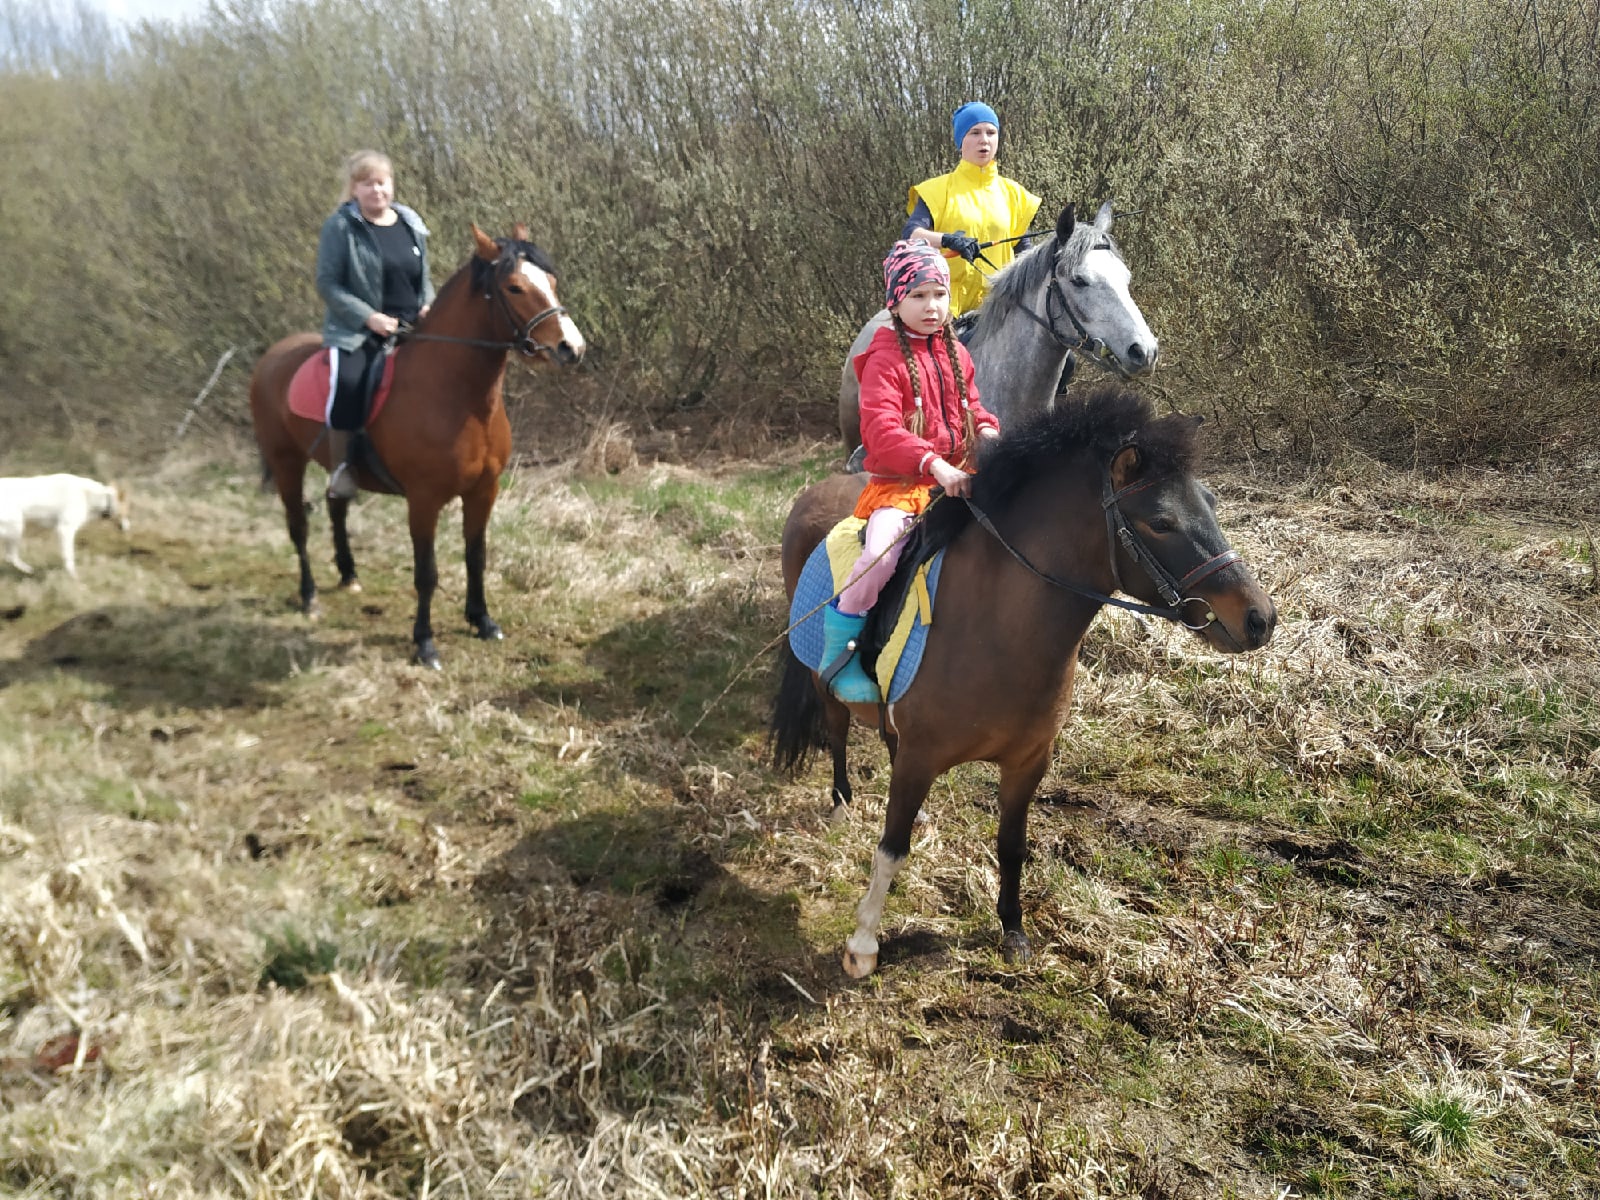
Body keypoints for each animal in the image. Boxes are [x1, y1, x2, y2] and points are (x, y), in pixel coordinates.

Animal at [0, 473, 129, 579]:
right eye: (126, 512)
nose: (128, 528)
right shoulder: (65, 530)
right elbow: (69, 557)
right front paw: (73, 576)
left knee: (9, 556)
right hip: (16, 528)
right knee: (10, 556)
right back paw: (28, 570)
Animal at [243, 224, 582, 668]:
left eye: (552, 282)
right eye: (515, 287)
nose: (570, 348)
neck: (455, 394)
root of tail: (272, 356)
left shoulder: (483, 491)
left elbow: (476, 556)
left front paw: (482, 621)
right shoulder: (423, 499)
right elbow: (427, 573)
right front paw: (424, 643)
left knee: (336, 507)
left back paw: (349, 575)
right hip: (286, 462)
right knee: (298, 527)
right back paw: (310, 597)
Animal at [768, 385, 1280, 979]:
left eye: (1212, 504)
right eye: (1161, 521)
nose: (1260, 618)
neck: (998, 627)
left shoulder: (1028, 761)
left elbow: (1012, 845)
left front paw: (1013, 930)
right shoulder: (922, 756)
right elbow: (892, 848)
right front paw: (864, 944)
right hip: (823, 683)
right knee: (836, 733)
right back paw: (840, 807)